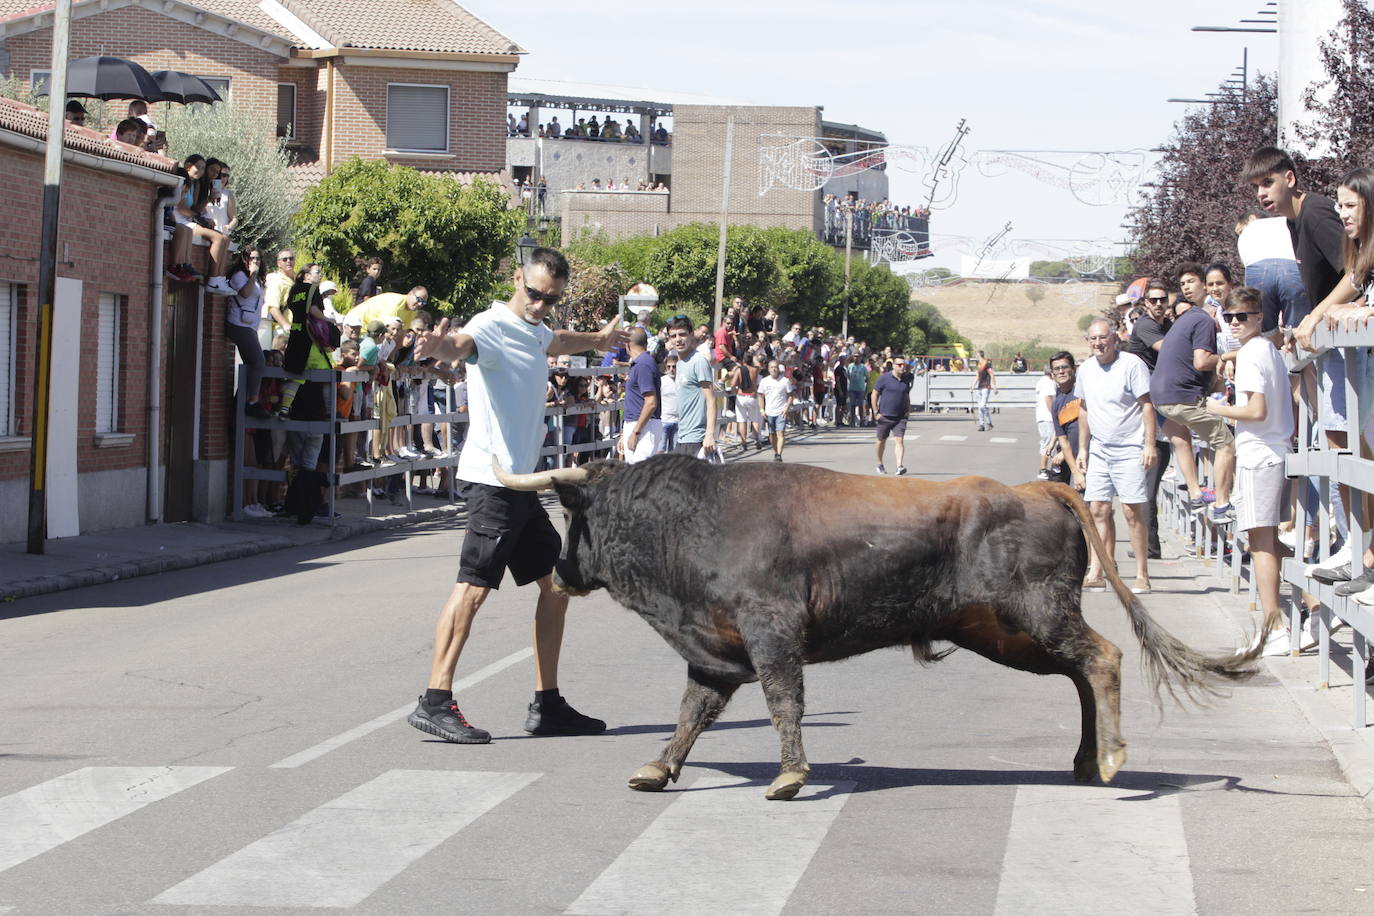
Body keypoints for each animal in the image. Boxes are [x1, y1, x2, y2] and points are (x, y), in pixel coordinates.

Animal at [497, 455, 1264, 796]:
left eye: (576, 517)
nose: (559, 572)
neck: (695, 519)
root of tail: (1036, 487)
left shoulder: (771, 634)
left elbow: (783, 700)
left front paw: (790, 775)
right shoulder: (715, 651)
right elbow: (693, 711)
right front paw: (658, 767)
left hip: (1037, 616)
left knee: (1101, 657)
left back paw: (1109, 759)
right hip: (1007, 633)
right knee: (1080, 670)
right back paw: (1084, 758)